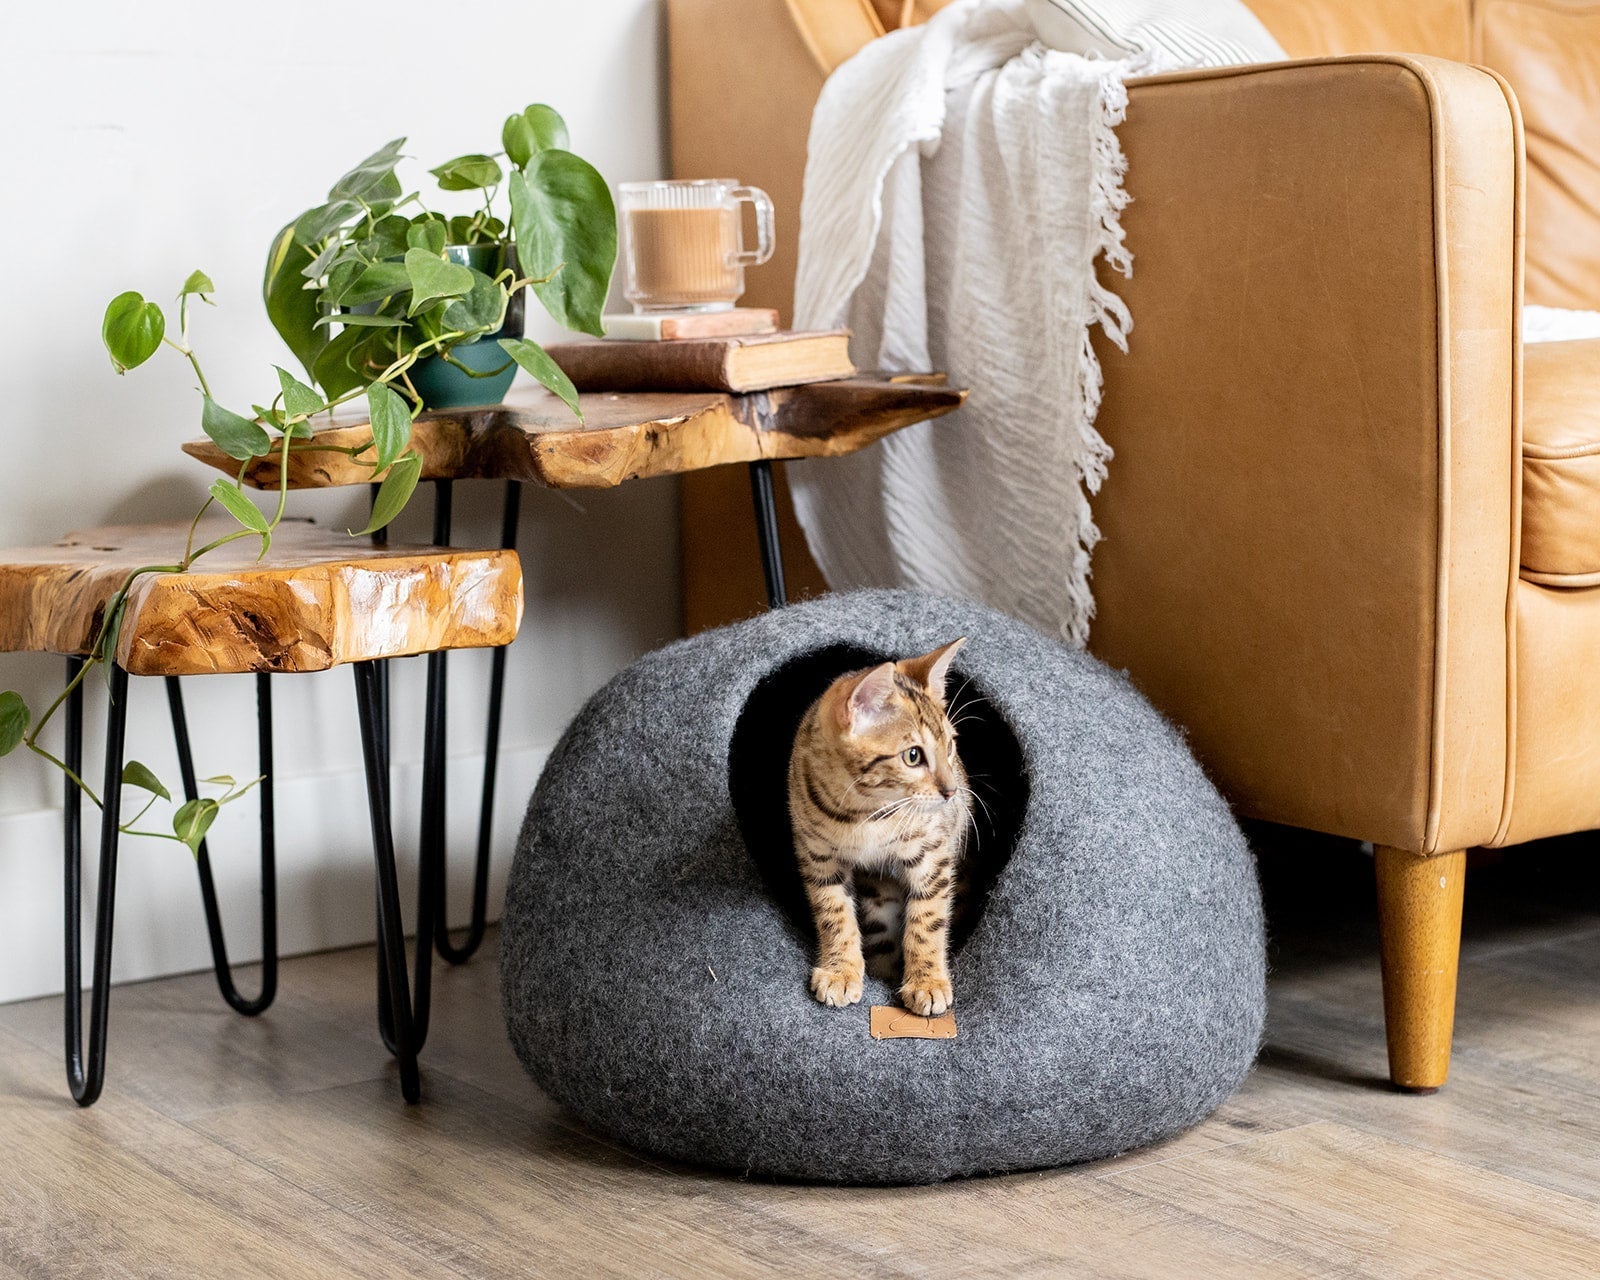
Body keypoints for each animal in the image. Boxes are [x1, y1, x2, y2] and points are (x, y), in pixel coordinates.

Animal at [790, 640, 972, 1017]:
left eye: (950, 746)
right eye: (913, 756)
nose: (952, 792)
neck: (864, 812)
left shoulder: (933, 855)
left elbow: (928, 920)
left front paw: (927, 982)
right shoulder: (818, 855)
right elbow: (833, 912)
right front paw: (840, 970)